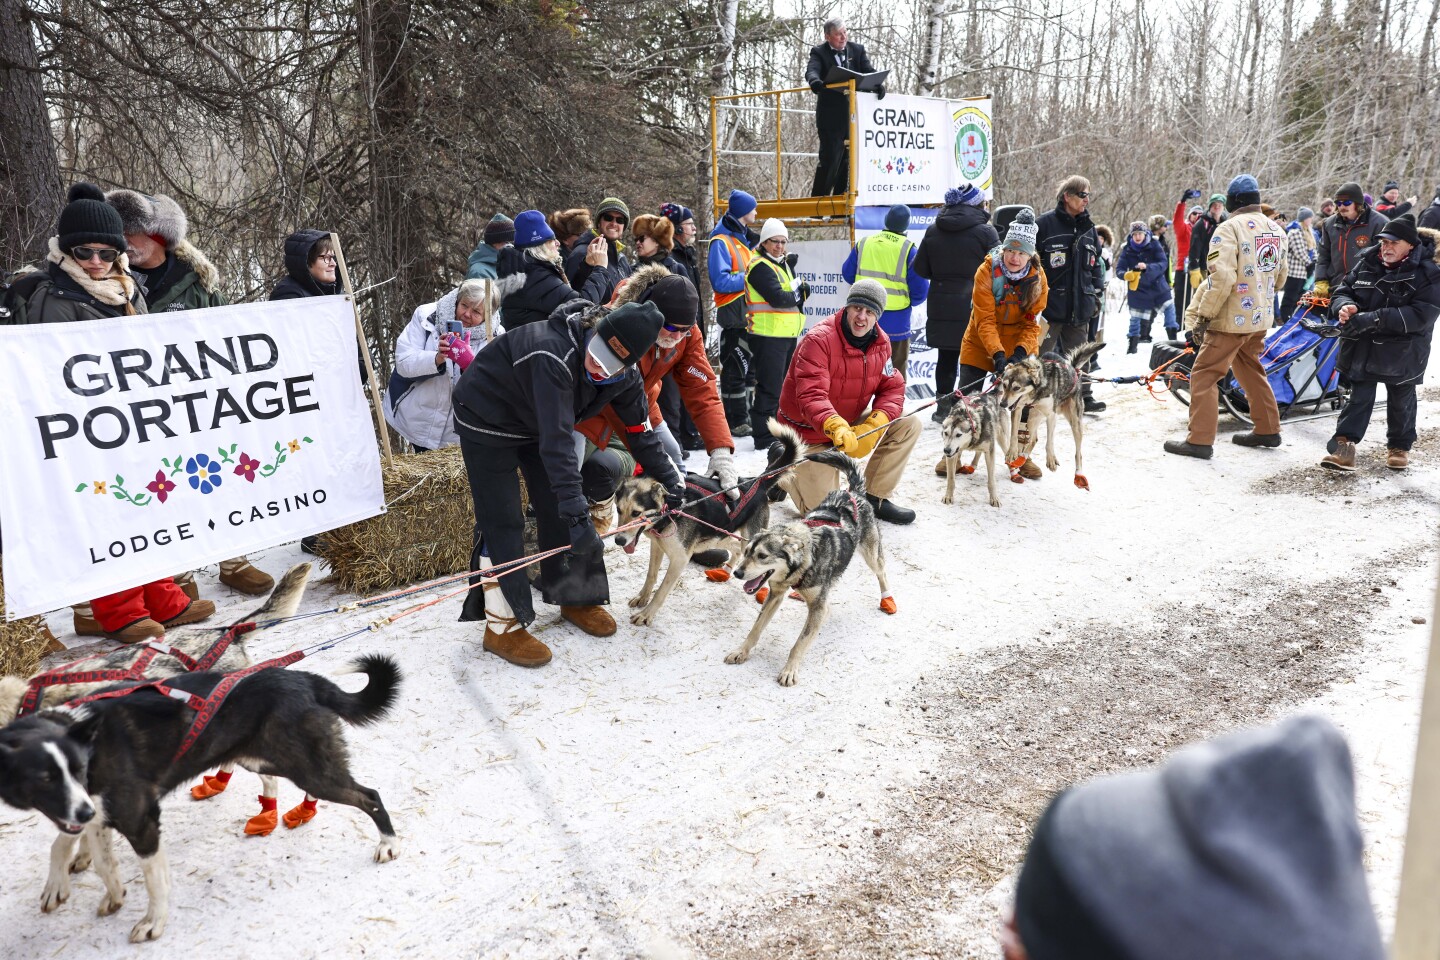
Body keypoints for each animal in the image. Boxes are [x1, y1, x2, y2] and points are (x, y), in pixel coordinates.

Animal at [0, 656, 403, 944]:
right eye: (45, 778)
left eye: (76, 768)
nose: (83, 811)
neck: (91, 741)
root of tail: (303, 677)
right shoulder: (95, 813)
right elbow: (96, 858)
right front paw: (106, 893)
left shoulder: (139, 819)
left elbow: (153, 880)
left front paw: (152, 923)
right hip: (264, 758)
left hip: (311, 770)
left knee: (370, 796)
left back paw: (388, 844)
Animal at [1002, 343, 1100, 492]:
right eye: (1004, 385)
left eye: (1016, 388)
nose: (1002, 404)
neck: (1037, 391)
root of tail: (1074, 370)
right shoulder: (1017, 409)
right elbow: (1013, 435)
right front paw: (1012, 452)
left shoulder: (1051, 415)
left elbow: (1050, 441)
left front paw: (1051, 460)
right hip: (1032, 419)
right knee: (1033, 439)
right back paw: (1021, 459)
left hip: (1075, 424)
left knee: (1078, 453)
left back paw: (1079, 475)